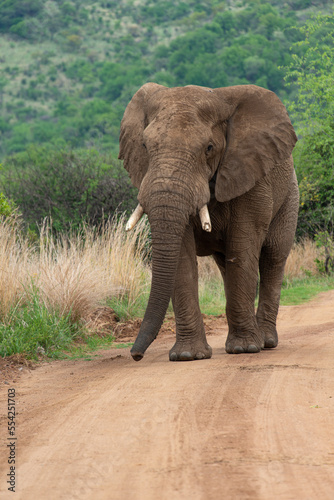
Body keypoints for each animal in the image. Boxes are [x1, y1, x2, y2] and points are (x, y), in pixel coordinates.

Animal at [118, 83, 298, 364]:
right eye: (145, 146)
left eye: (209, 148)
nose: (136, 355)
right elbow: (182, 259)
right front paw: (187, 356)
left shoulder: (250, 176)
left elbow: (243, 249)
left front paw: (244, 349)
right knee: (226, 264)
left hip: (290, 194)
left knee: (273, 258)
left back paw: (265, 341)